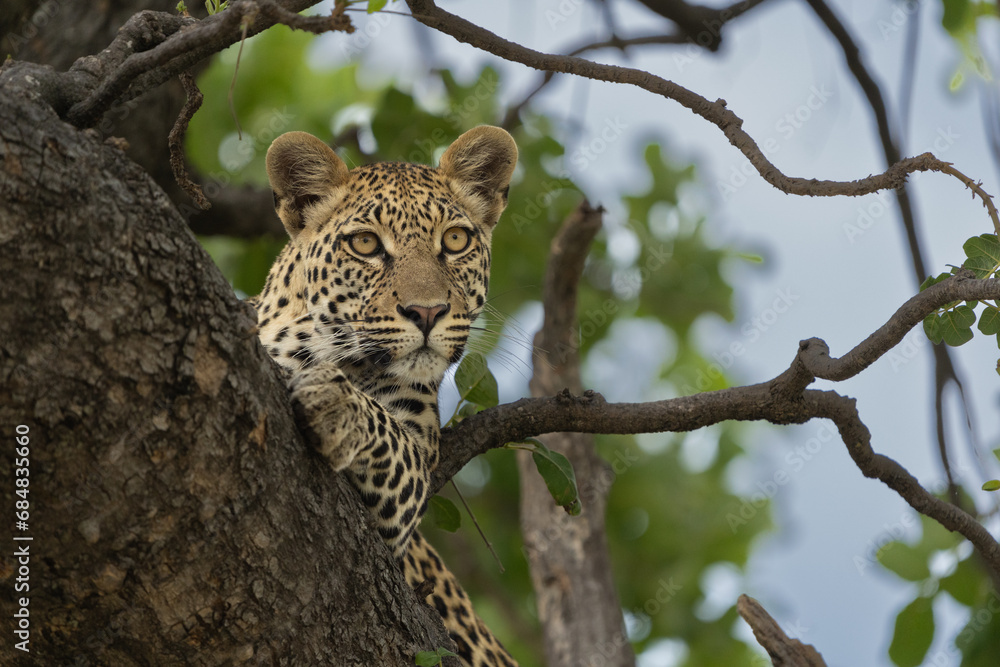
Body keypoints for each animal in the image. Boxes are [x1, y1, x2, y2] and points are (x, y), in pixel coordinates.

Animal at [247, 125, 520, 667]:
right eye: (366, 244)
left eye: (454, 240)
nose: (428, 312)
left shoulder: (409, 477)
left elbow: (384, 427)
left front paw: (333, 404)